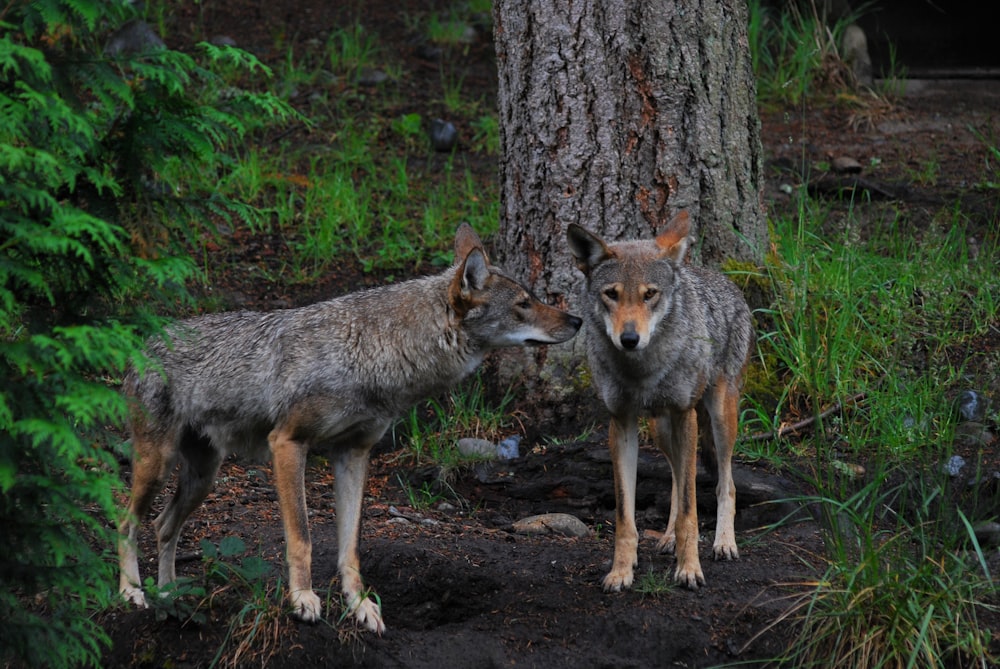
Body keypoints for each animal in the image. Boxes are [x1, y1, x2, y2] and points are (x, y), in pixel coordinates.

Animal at [117, 223, 584, 632]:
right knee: (127, 523)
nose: (578, 320)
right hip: (158, 467)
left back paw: (170, 596)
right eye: (524, 303)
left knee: (162, 527)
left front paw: (360, 607)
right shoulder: (288, 444)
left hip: (203, 478)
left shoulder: (354, 455)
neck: (372, 352)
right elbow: (302, 538)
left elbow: (350, 549)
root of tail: (146, 340)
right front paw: (303, 600)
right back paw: (133, 593)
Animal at [568, 213, 752, 588]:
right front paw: (621, 572)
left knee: (725, 483)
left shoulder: (685, 413)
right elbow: (626, 517)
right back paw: (667, 538)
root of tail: (722, 279)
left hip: (718, 418)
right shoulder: (621, 422)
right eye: (612, 294)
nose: (629, 338)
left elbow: (690, 511)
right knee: (677, 480)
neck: (642, 370)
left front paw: (690, 569)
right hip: (660, 429)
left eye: (649, 294)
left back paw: (724, 542)